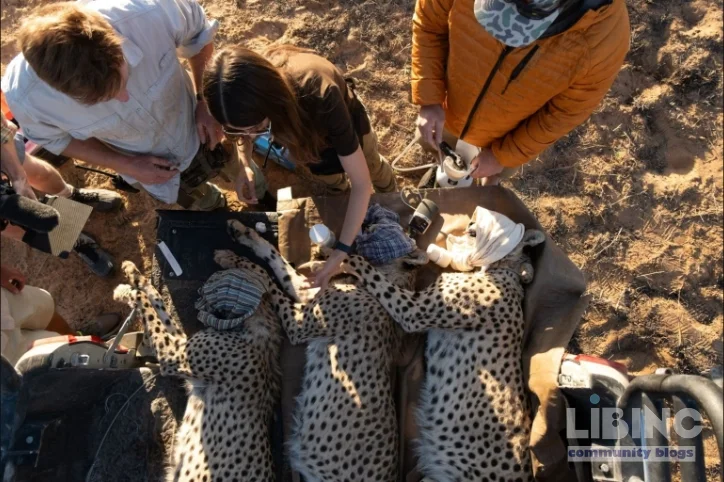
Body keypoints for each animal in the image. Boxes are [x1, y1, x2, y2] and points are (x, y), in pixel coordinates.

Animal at [113, 260, 281, 482]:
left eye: (212, 285)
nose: (197, 297)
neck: (256, 321)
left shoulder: (172, 355)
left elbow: (150, 308)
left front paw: (127, 292)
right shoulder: (180, 349)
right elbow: (159, 303)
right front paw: (133, 273)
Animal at [212, 219, 428, 482]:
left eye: (383, 229)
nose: (368, 222)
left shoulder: (298, 323)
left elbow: (267, 276)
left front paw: (237, 262)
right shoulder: (309, 292)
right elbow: (275, 258)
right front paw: (242, 236)